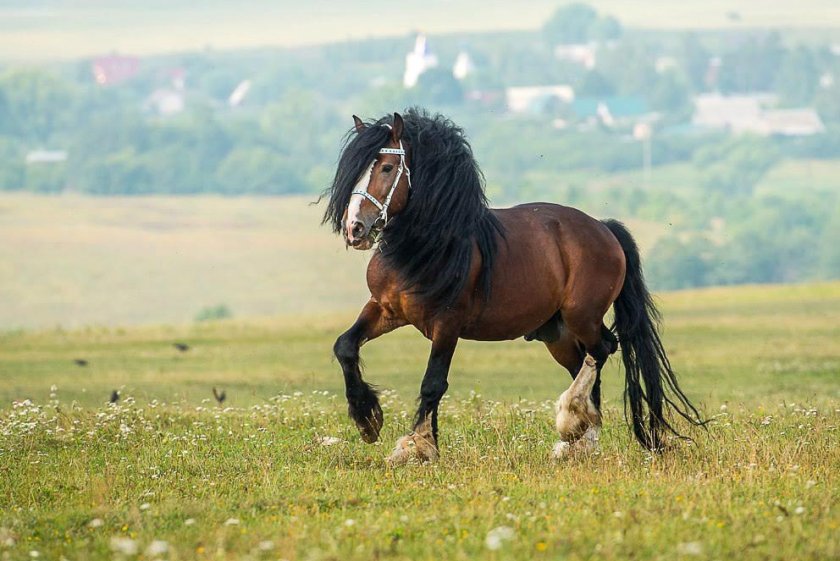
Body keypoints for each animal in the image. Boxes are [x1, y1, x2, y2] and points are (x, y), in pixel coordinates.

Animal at [322, 106, 704, 464]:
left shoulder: (447, 324)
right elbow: (345, 346)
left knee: (603, 350)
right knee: (584, 363)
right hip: (558, 334)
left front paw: (417, 446)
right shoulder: (386, 309)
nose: (355, 228)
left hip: (582, 315)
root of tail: (604, 229)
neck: (427, 247)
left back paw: (571, 422)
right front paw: (368, 420)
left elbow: (433, 382)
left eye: (387, 168)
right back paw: (578, 442)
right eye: (356, 170)